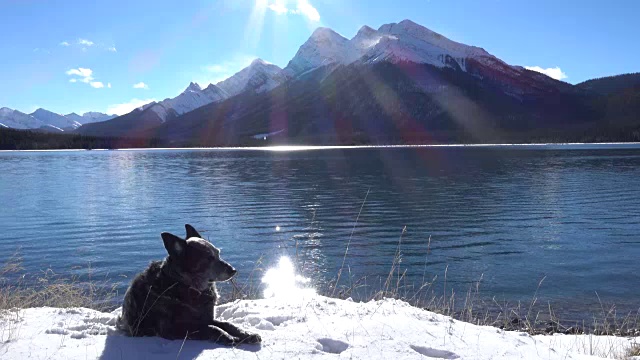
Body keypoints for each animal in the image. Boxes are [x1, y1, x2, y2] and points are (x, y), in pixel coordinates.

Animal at [117, 224, 260, 344]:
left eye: (218, 253)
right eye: (208, 258)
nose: (233, 270)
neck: (187, 286)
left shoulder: (206, 318)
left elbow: (227, 324)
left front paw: (246, 334)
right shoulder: (172, 328)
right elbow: (211, 328)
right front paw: (229, 337)